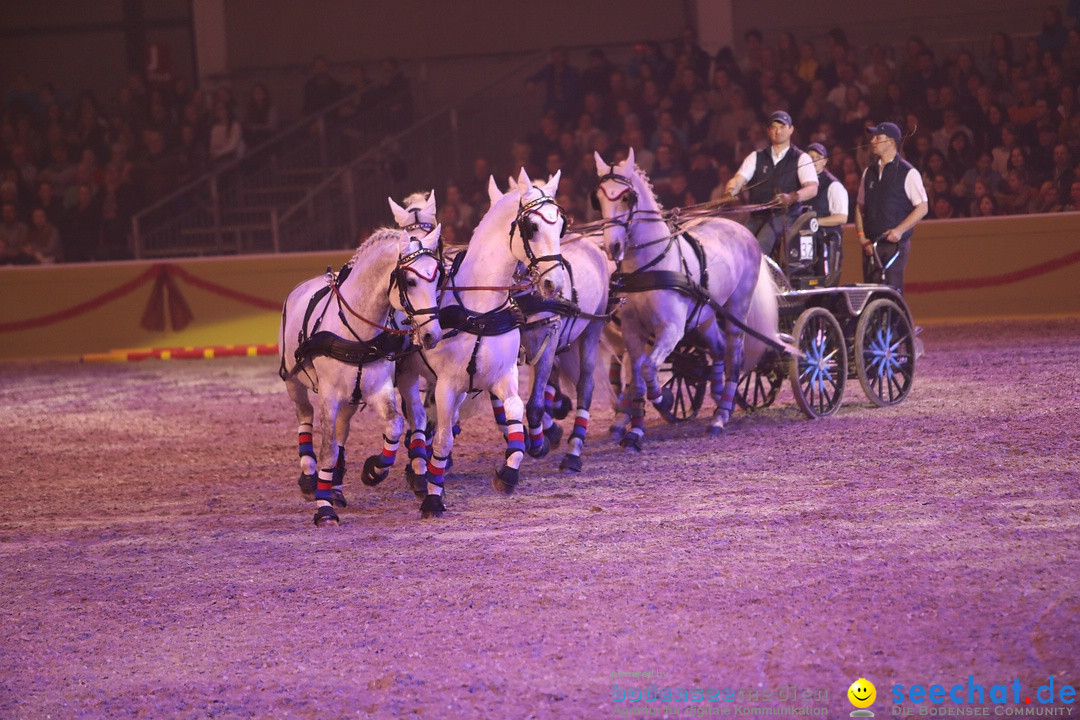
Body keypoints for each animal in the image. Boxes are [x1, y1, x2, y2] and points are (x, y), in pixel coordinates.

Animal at [282, 194, 447, 526]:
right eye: (409, 281)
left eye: (436, 275)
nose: (431, 334)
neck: (357, 328)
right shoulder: (329, 395)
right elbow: (328, 449)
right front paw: (324, 508)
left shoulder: (378, 389)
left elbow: (394, 425)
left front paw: (373, 470)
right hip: (294, 381)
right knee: (305, 416)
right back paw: (310, 477)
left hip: (352, 396)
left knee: (344, 428)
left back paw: (335, 486)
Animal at [395, 169, 565, 518]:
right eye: (532, 227)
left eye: (561, 225)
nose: (554, 283)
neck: (480, 311)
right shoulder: (447, 384)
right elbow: (443, 439)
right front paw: (433, 498)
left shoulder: (502, 376)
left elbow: (514, 413)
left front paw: (508, 473)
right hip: (408, 375)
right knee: (418, 419)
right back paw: (418, 472)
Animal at [596, 148, 781, 446]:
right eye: (598, 198)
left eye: (627, 197)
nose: (612, 246)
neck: (650, 265)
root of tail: (741, 230)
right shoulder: (632, 331)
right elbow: (636, 377)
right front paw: (635, 430)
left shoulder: (671, 329)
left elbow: (648, 369)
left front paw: (664, 398)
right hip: (704, 317)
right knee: (718, 349)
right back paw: (718, 397)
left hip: (737, 308)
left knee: (735, 356)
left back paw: (721, 415)